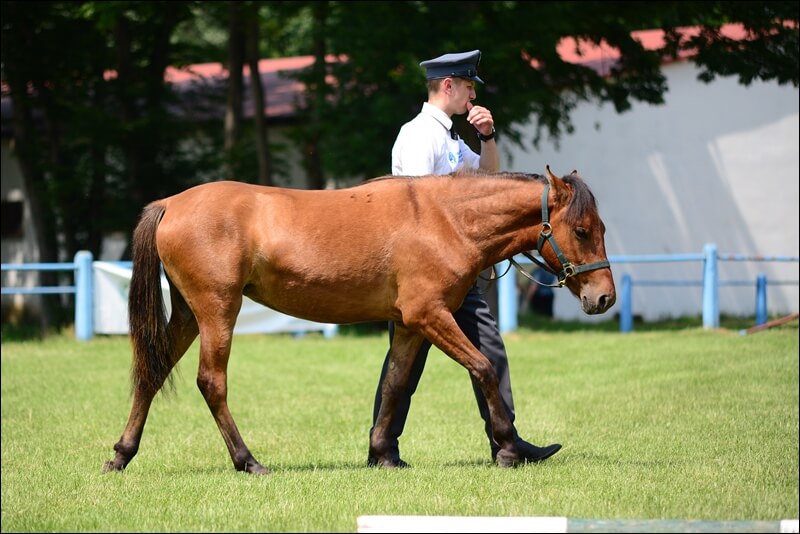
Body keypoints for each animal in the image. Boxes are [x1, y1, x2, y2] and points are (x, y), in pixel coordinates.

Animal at [103, 165, 616, 476]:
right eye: (582, 230)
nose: (604, 297)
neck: (445, 219)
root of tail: (171, 203)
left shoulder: (410, 325)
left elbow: (394, 385)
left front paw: (382, 454)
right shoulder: (430, 315)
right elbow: (485, 369)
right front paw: (508, 448)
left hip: (189, 315)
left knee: (151, 373)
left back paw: (122, 455)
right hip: (217, 311)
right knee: (211, 382)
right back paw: (248, 461)